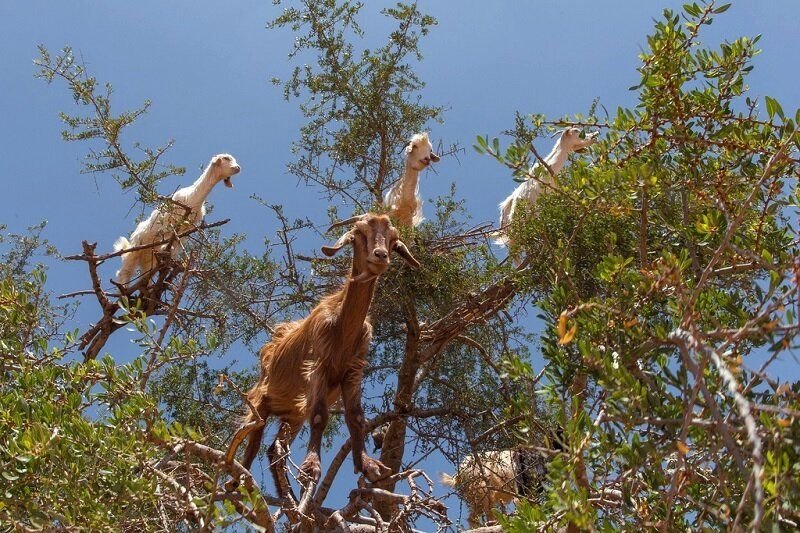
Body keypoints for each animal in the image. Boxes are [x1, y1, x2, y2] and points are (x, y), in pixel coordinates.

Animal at [114, 153, 241, 284]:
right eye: (226, 158)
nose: (238, 168)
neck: (193, 197)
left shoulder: (187, 229)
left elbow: (177, 243)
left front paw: (173, 259)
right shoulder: (171, 220)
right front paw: (166, 250)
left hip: (148, 259)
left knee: (145, 278)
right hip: (135, 249)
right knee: (124, 272)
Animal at [234, 214, 422, 496]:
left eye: (393, 239)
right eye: (358, 234)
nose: (380, 256)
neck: (341, 329)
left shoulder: (353, 370)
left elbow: (356, 417)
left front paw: (369, 465)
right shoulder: (317, 366)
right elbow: (320, 416)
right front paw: (311, 468)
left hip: (293, 413)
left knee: (274, 448)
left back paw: (285, 493)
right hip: (260, 400)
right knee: (250, 441)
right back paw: (237, 481)